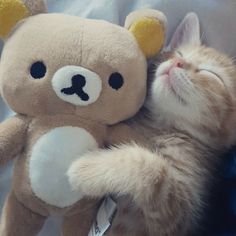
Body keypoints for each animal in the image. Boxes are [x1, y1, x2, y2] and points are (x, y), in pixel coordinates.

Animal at [67, 13, 236, 236]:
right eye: (177, 53)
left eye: (211, 74)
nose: (177, 62)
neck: (160, 126)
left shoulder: (175, 219)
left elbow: (153, 170)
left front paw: (87, 169)